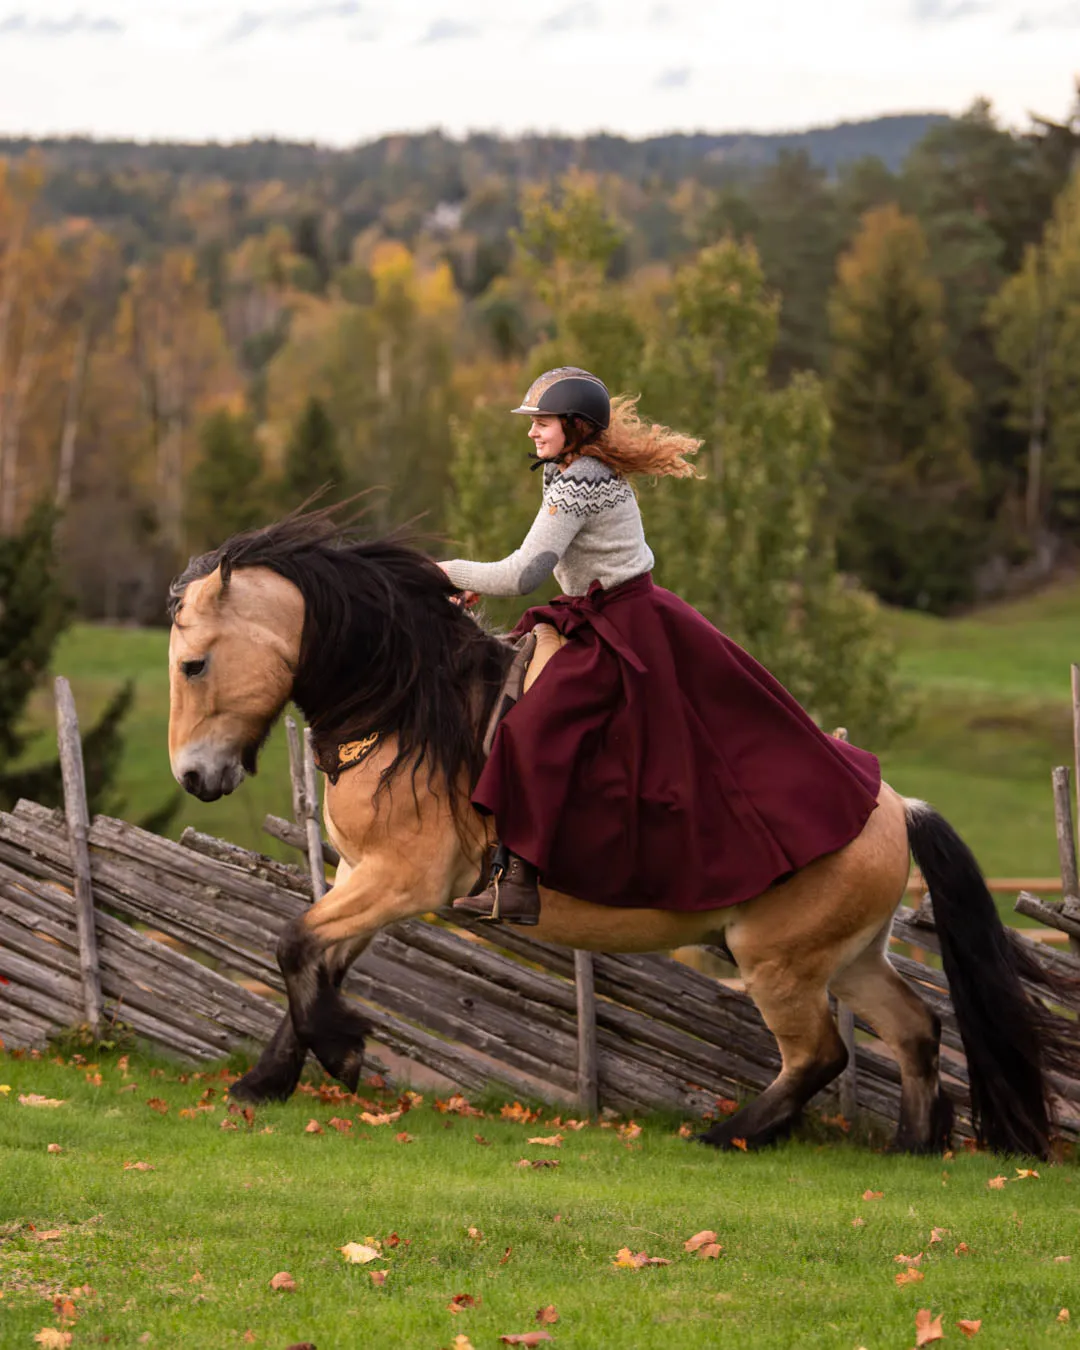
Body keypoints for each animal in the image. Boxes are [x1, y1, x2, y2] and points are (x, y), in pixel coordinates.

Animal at [166, 510, 1069, 1155]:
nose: (194, 778)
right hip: (846, 958)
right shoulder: (366, 880)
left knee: (821, 1054)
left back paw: (730, 1133)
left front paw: (343, 1054)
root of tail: (892, 807)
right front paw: (272, 1078)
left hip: (777, 962)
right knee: (917, 1031)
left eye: (193, 663)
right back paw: (912, 1146)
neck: (408, 704)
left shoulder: (403, 881)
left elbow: (294, 947)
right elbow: (310, 960)